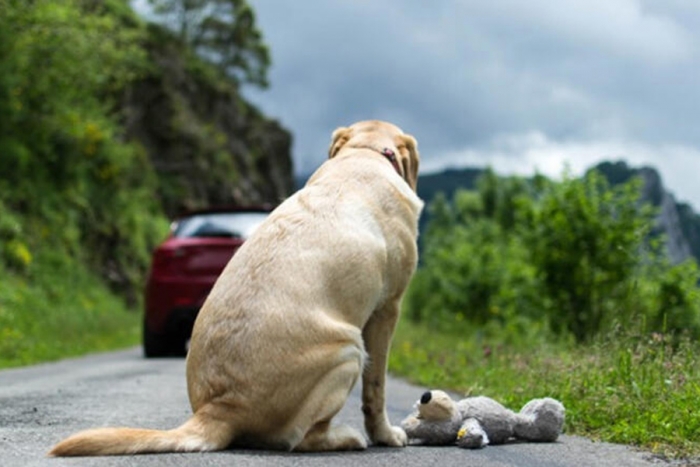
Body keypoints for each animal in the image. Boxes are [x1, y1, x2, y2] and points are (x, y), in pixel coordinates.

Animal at [50, 119, 422, 458]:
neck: (364, 153)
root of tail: (220, 409)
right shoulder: (388, 308)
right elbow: (376, 388)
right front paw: (386, 435)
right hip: (348, 349)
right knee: (301, 439)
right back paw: (346, 437)